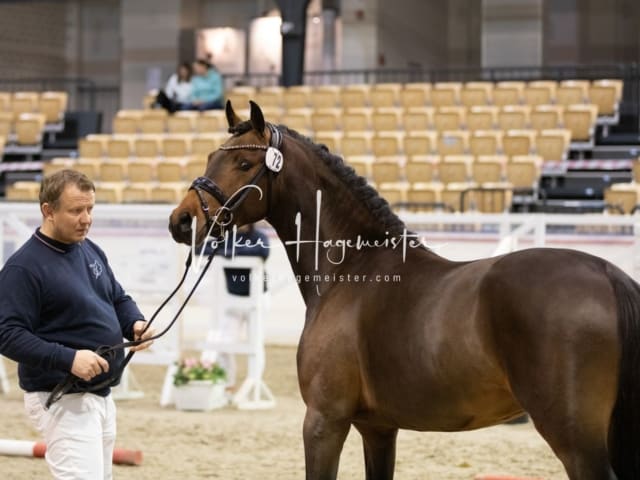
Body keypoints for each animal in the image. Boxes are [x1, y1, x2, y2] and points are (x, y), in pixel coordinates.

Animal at [169, 101, 640, 480]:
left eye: (245, 165)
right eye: (211, 157)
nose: (182, 220)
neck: (351, 269)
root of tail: (607, 274)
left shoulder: (324, 421)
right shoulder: (378, 429)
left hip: (576, 442)